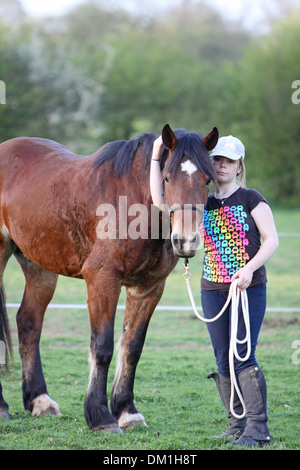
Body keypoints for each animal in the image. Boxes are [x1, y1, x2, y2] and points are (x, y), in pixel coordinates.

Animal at [0, 124, 217, 434]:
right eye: (166, 178)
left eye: (207, 179)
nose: (185, 241)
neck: (133, 200)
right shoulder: (102, 280)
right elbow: (102, 345)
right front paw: (100, 416)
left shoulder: (148, 288)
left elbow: (132, 347)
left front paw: (127, 411)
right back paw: (3, 406)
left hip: (38, 266)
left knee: (29, 323)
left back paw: (39, 400)